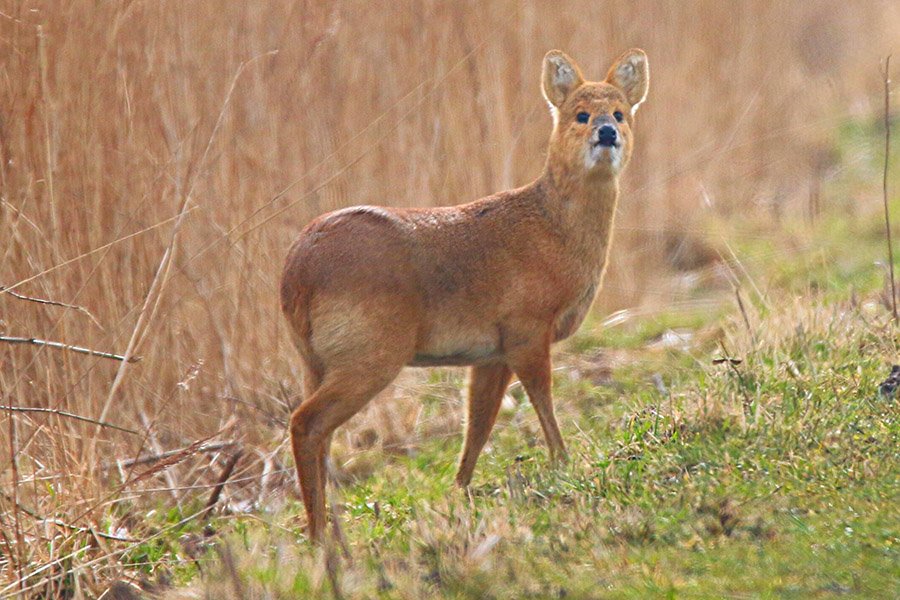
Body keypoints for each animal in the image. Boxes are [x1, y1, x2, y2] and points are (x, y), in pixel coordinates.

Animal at [280, 48, 649, 542]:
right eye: (580, 114)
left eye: (621, 113)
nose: (606, 132)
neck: (553, 230)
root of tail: (295, 274)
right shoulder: (526, 325)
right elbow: (541, 397)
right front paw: (564, 463)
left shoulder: (491, 351)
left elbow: (478, 423)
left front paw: (459, 491)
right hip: (369, 350)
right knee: (306, 423)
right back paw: (323, 537)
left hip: (314, 360)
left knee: (318, 432)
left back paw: (327, 531)